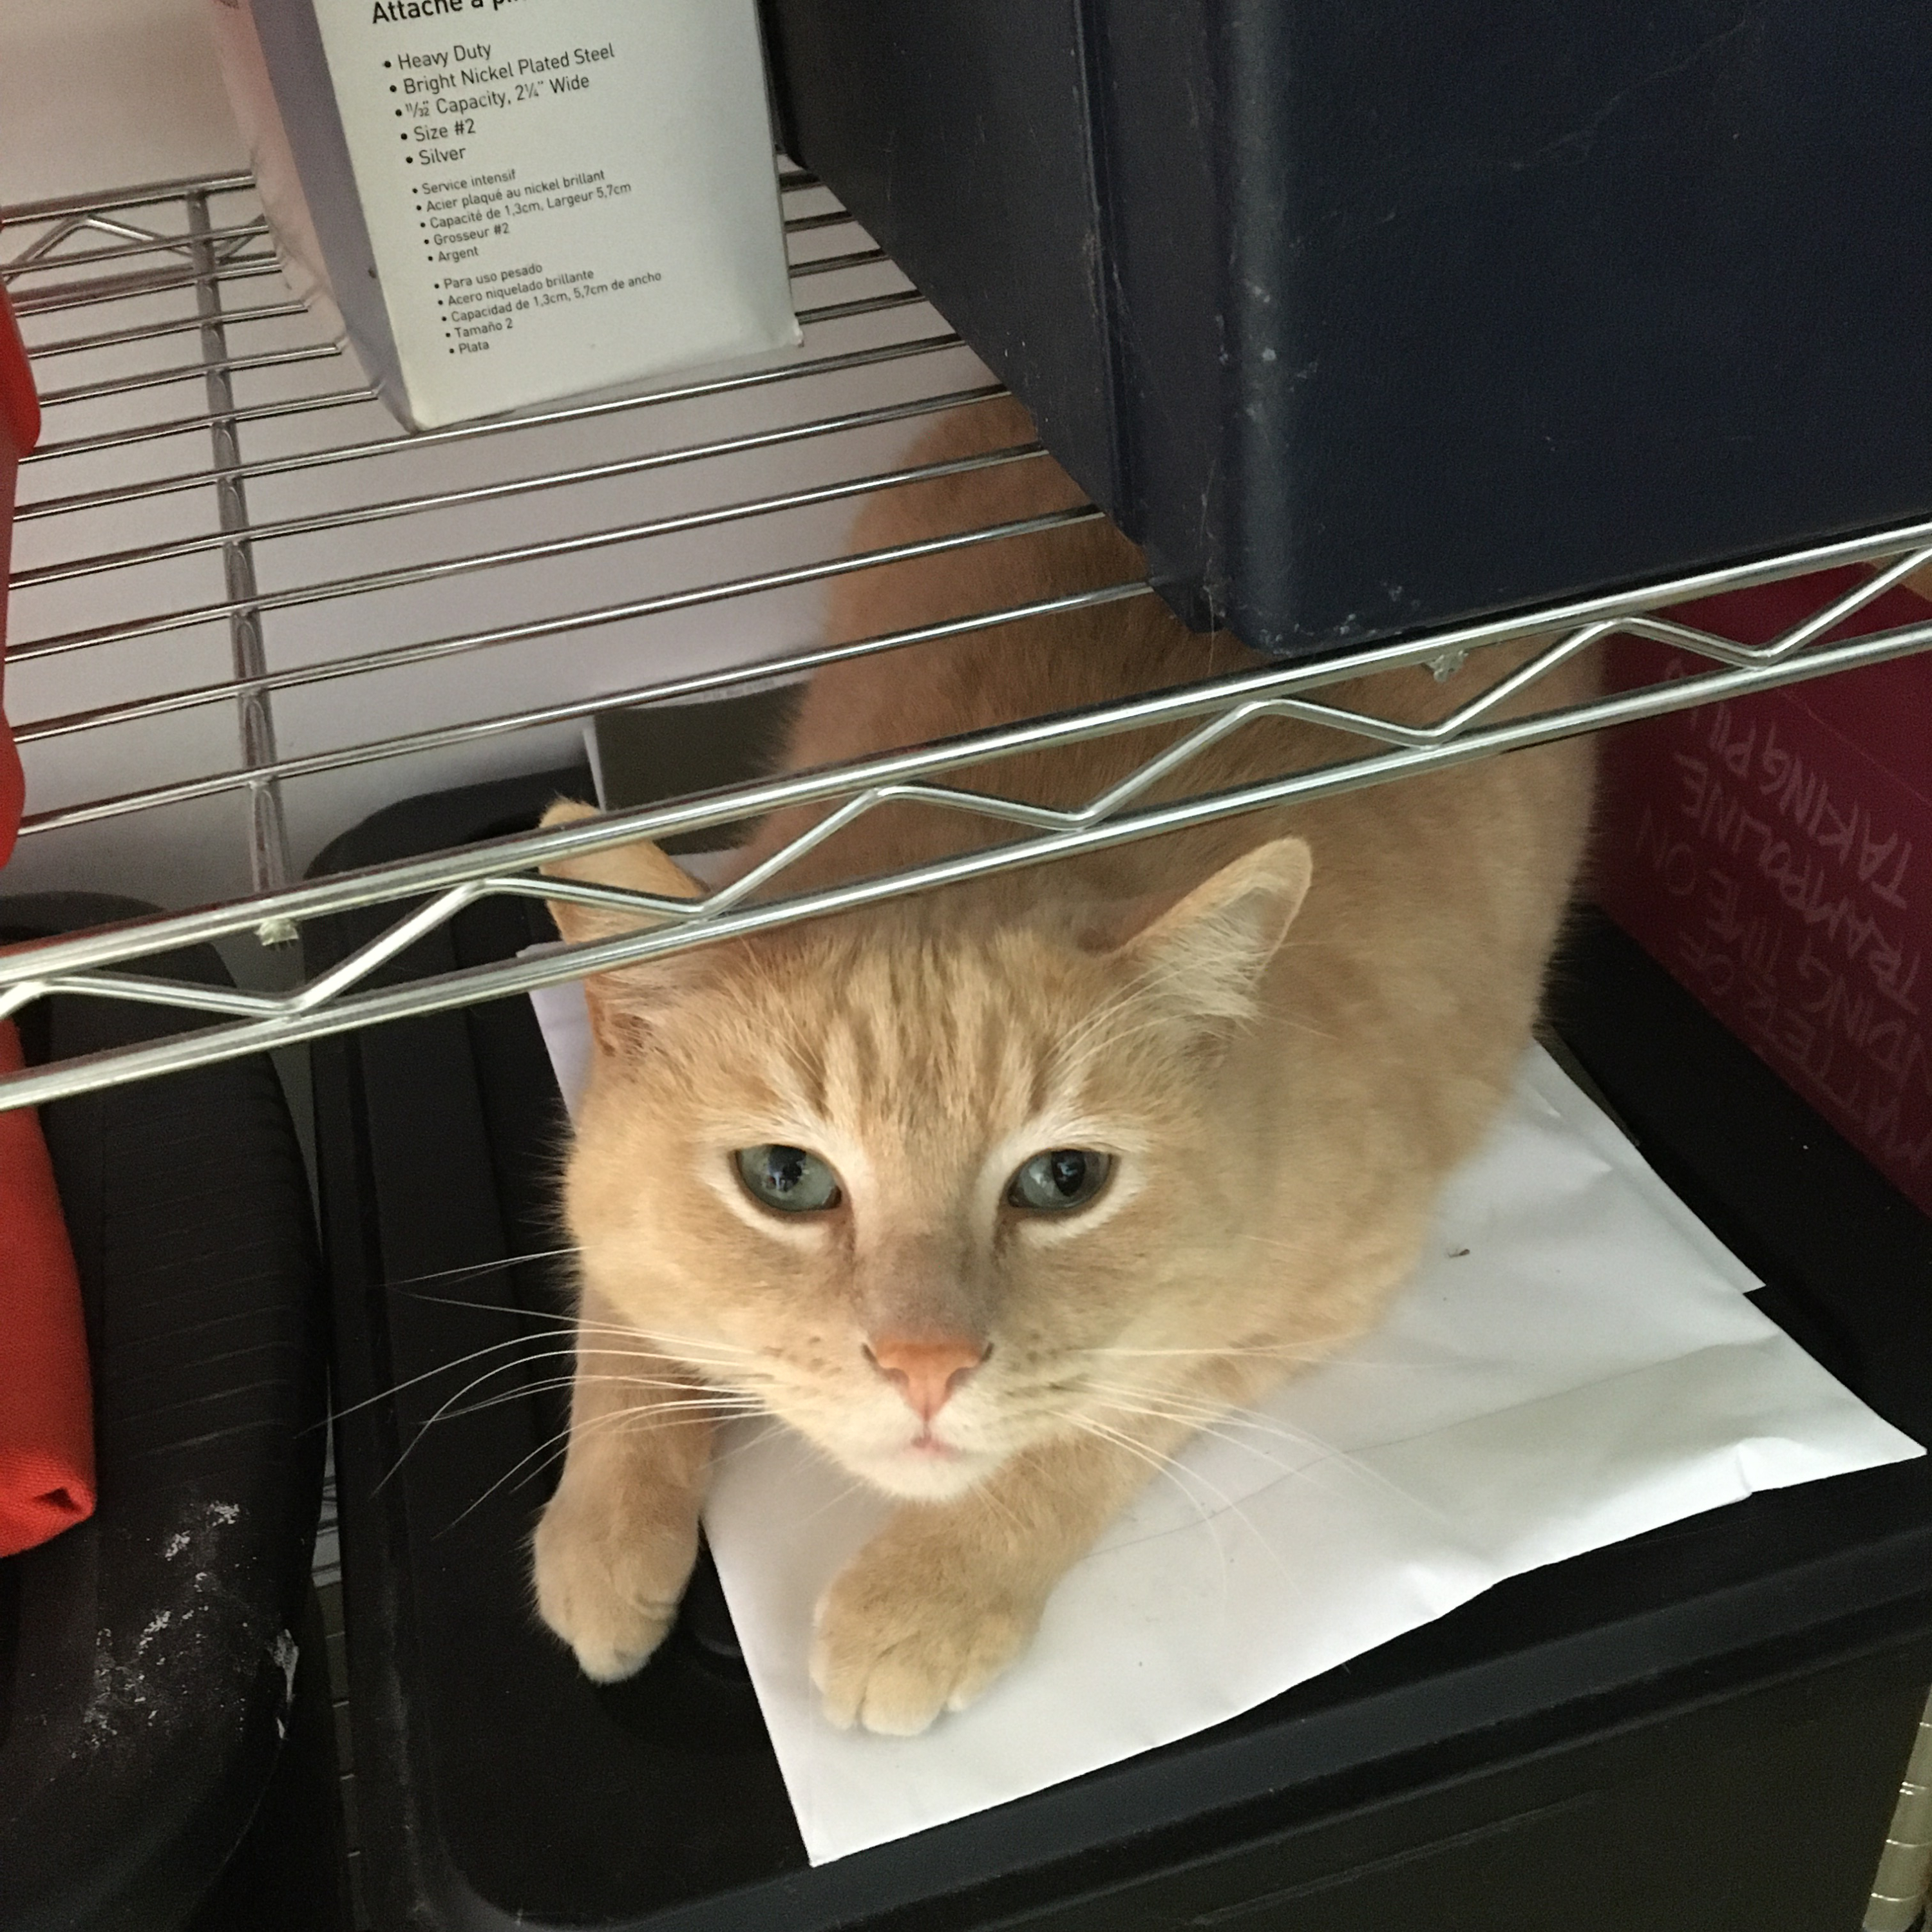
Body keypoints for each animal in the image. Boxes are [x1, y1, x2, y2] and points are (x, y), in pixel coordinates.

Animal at [533, 396, 1600, 1739]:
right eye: (784, 1178)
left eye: (1062, 1183)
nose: (924, 1370)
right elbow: (626, 1305)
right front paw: (605, 1529)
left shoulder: (1317, 1291)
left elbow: (1095, 1422)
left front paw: (929, 1595)